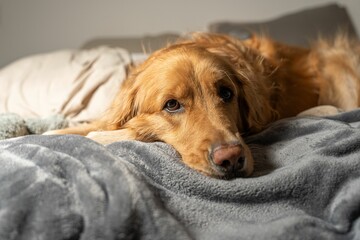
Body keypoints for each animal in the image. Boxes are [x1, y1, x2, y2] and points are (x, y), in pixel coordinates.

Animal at [46, 33, 360, 179]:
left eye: (226, 93)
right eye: (172, 105)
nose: (231, 159)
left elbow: (130, 130)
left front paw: (102, 135)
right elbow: (92, 124)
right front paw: (51, 132)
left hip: (336, 61)